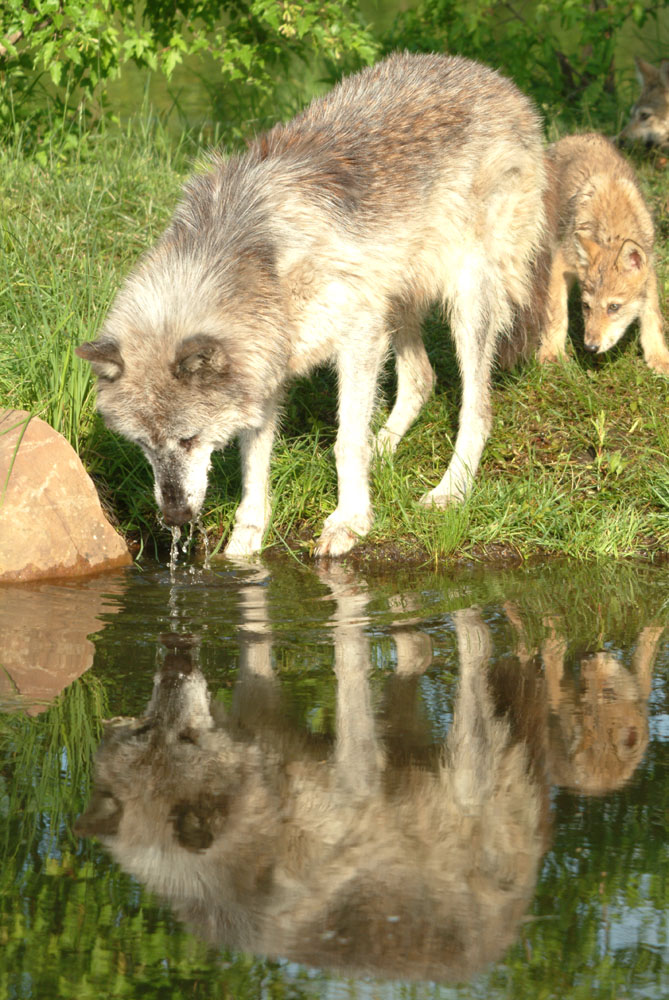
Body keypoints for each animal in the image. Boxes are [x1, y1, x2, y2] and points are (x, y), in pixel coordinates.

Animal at [75, 50, 544, 560]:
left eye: (189, 438)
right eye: (145, 445)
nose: (176, 518)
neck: (259, 262)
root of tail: (491, 76)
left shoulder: (357, 336)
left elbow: (345, 442)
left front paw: (349, 522)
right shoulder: (265, 364)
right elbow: (253, 460)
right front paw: (246, 541)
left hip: (465, 301)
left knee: (476, 410)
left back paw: (449, 492)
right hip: (396, 302)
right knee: (422, 378)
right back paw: (385, 449)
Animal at [77, 568, 548, 980]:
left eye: (186, 737)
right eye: (146, 730)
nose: (174, 665)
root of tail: (511, 927)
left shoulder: (350, 779)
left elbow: (344, 660)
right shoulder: (272, 719)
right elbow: (261, 636)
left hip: (464, 776)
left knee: (474, 647)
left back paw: (461, 610)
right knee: (424, 653)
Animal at [536, 133, 669, 376]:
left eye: (613, 307)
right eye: (586, 306)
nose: (590, 347)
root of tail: (576, 135)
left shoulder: (650, 271)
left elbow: (653, 316)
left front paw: (659, 358)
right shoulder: (561, 264)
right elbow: (556, 313)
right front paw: (551, 355)